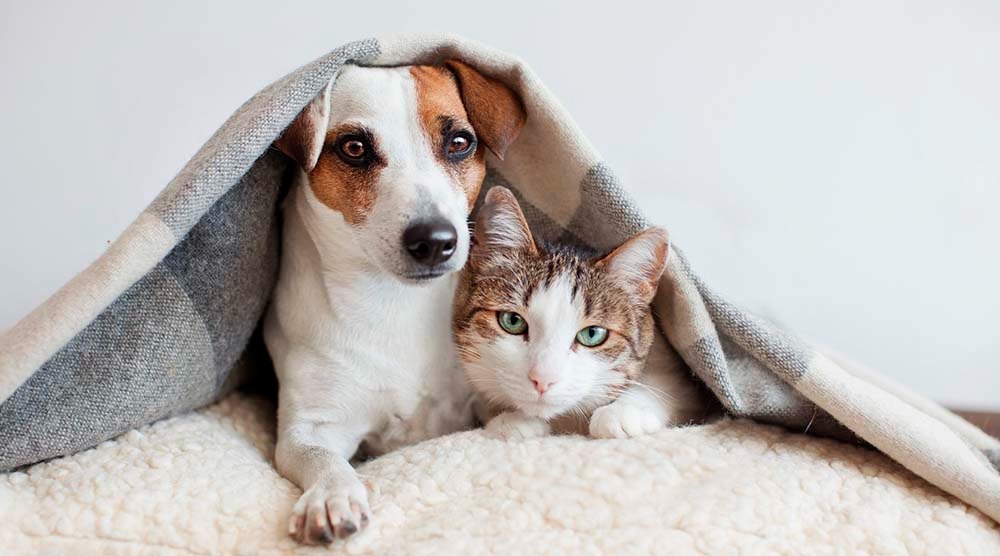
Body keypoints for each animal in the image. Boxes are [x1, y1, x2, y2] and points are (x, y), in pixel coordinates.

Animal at [262, 62, 528, 544]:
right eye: (354, 148)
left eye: (459, 142)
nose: (435, 240)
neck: (394, 303)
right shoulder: (309, 427)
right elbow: (320, 458)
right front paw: (331, 495)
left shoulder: (482, 397)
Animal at [458, 187, 708, 438]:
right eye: (512, 321)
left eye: (592, 334)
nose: (543, 380)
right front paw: (513, 420)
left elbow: (666, 385)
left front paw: (623, 411)